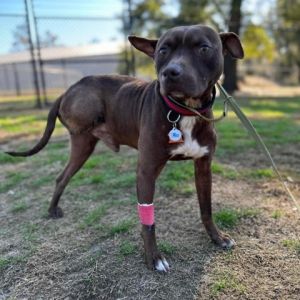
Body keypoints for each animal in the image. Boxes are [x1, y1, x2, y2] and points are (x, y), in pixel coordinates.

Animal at [6, 24, 244, 272]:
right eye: (163, 51)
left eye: (204, 48)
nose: (170, 72)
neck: (185, 111)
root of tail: (68, 90)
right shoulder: (146, 171)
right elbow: (148, 220)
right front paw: (153, 258)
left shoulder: (204, 166)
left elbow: (206, 208)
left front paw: (216, 237)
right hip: (82, 140)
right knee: (63, 176)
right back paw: (52, 210)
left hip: (84, 146)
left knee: (62, 176)